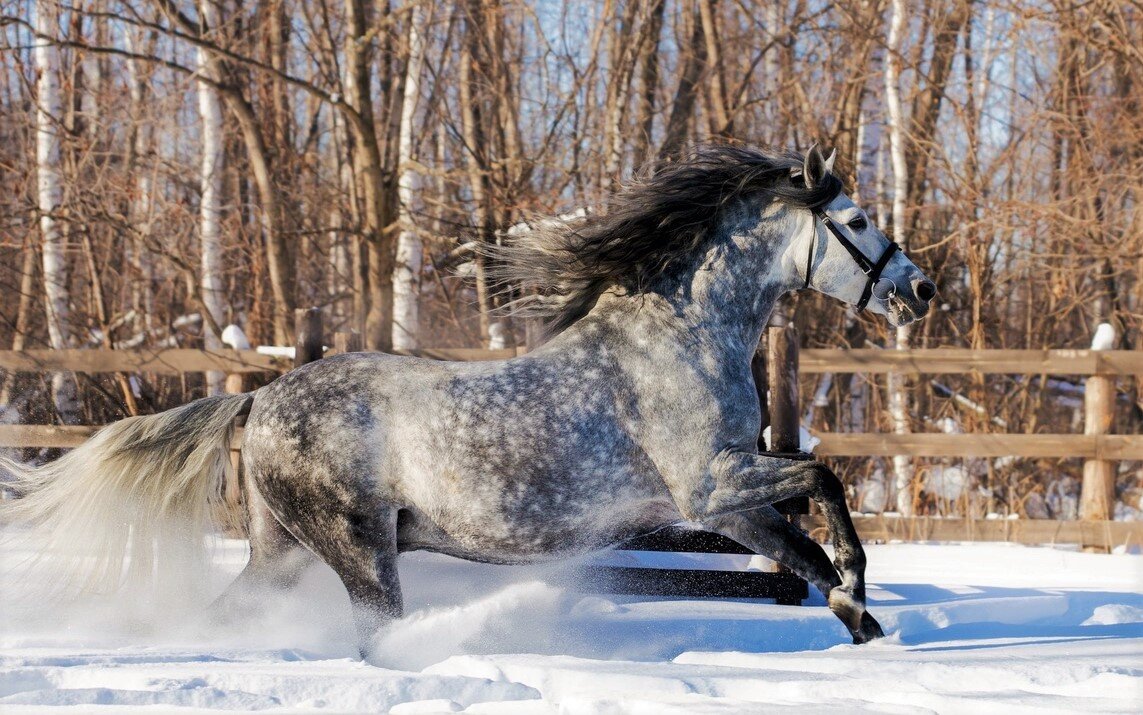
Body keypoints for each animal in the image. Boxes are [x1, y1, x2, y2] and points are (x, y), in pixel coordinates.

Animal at [4, 145, 937, 653]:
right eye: (856, 220)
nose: (920, 289)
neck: (679, 337)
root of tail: (261, 401)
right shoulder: (708, 485)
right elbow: (823, 486)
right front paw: (858, 594)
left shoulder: (727, 502)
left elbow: (801, 546)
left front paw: (860, 619)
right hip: (359, 548)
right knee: (375, 629)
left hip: (283, 550)